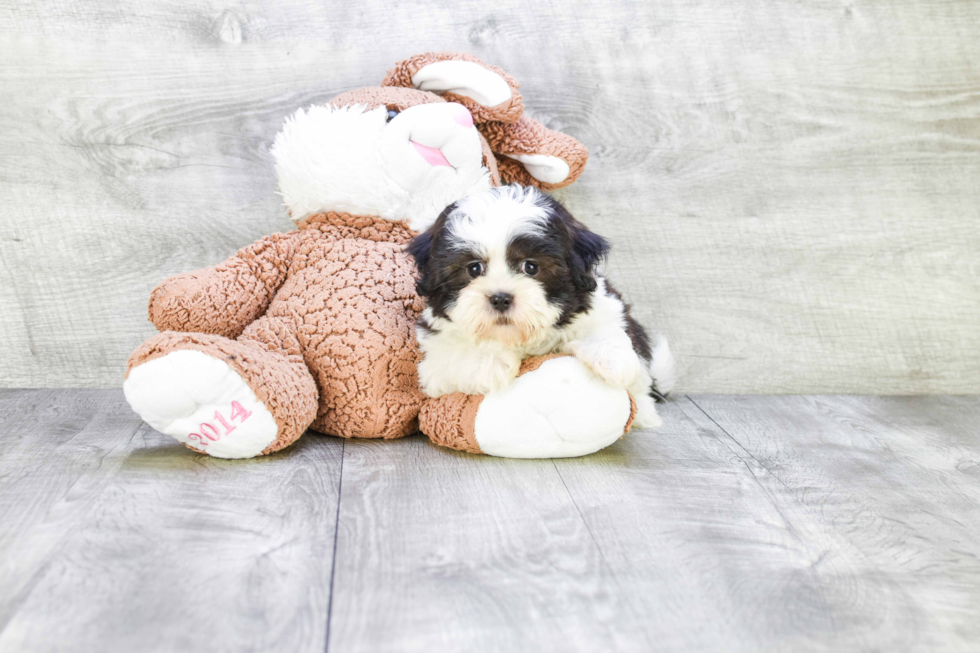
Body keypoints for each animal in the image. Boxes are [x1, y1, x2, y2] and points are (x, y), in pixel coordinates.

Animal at [406, 183, 672, 428]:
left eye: (531, 266)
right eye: (473, 268)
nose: (500, 298)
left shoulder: (601, 303)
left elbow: (605, 324)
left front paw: (611, 357)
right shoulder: (434, 364)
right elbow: (457, 351)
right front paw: (487, 362)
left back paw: (644, 412)